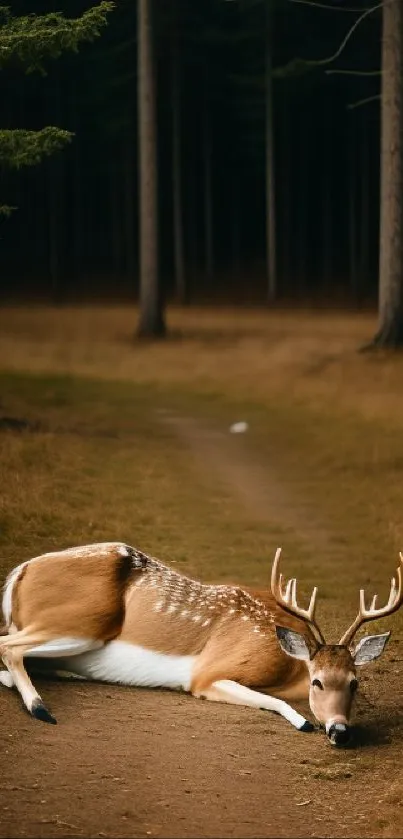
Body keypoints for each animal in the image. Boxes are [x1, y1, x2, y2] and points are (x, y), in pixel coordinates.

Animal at [0, 544, 403, 748]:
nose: (340, 730)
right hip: (81, 624)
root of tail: (18, 574)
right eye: (317, 681)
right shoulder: (207, 673)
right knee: (8, 646)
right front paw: (304, 722)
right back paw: (41, 708)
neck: (287, 664)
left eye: (355, 683)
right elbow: (272, 701)